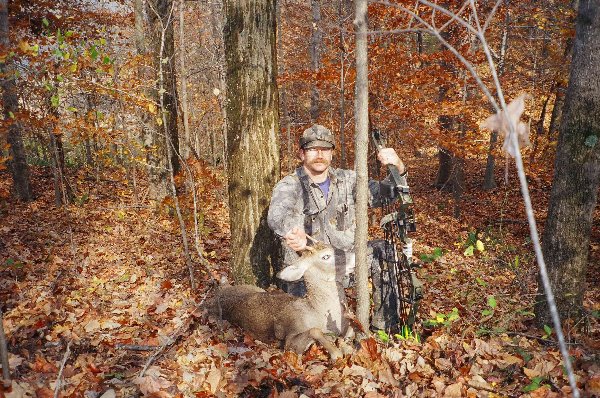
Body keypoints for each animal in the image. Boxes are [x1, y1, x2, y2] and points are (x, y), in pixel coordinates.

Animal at [209, 244, 354, 362]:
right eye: (326, 256)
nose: (353, 256)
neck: (318, 312)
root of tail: (222, 288)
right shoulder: (290, 340)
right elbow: (315, 331)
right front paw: (336, 353)